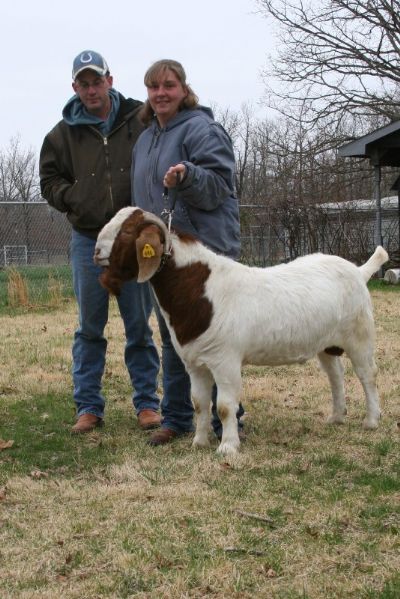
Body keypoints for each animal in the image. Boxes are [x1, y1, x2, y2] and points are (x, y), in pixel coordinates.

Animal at [94, 206, 388, 454]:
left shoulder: (225, 361)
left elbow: (225, 407)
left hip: (360, 334)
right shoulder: (195, 363)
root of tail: (359, 271)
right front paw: (199, 442)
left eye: (128, 232)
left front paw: (228, 447)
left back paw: (371, 420)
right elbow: (199, 403)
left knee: (367, 374)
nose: (96, 250)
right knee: (336, 375)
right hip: (326, 343)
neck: (201, 290)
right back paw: (336, 417)